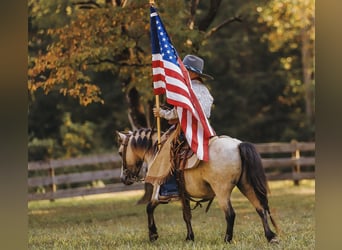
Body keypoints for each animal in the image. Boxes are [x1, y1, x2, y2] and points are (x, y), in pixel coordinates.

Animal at [116, 128, 280, 243]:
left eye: (120, 152)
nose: (124, 178)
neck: (156, 152)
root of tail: (238, 145)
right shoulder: (184, 196)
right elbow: (186, 216)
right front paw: (189, 237)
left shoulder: (158, 193)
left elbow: (149, 208)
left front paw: (153, 235)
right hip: (246, 185)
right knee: (260, 208)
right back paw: (270, 236)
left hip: (222, 190)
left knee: (230, 214)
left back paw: (227, 239)